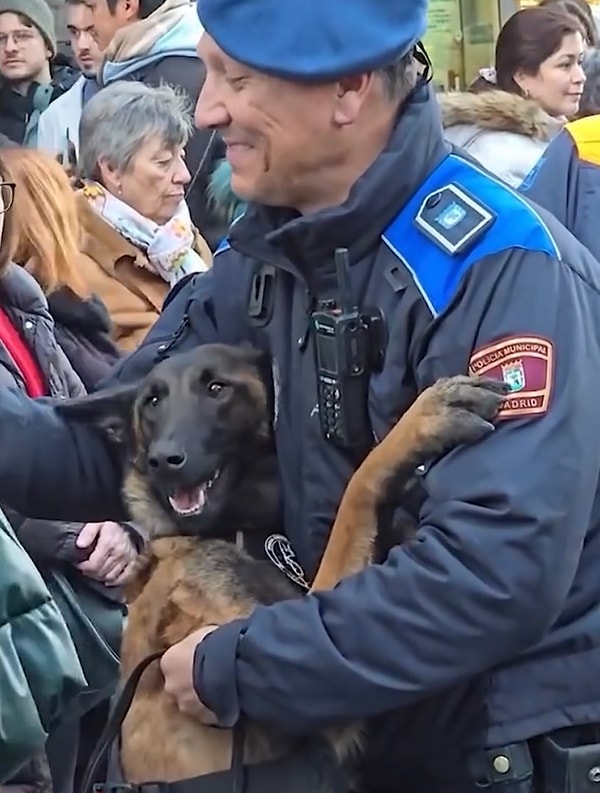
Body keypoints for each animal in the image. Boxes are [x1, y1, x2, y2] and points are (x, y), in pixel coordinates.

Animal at [57, 342, 506, 784]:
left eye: (217, 388)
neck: (227, 530)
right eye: (152, 402)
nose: (164, 459)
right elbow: (356, 490)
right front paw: (421, 421)